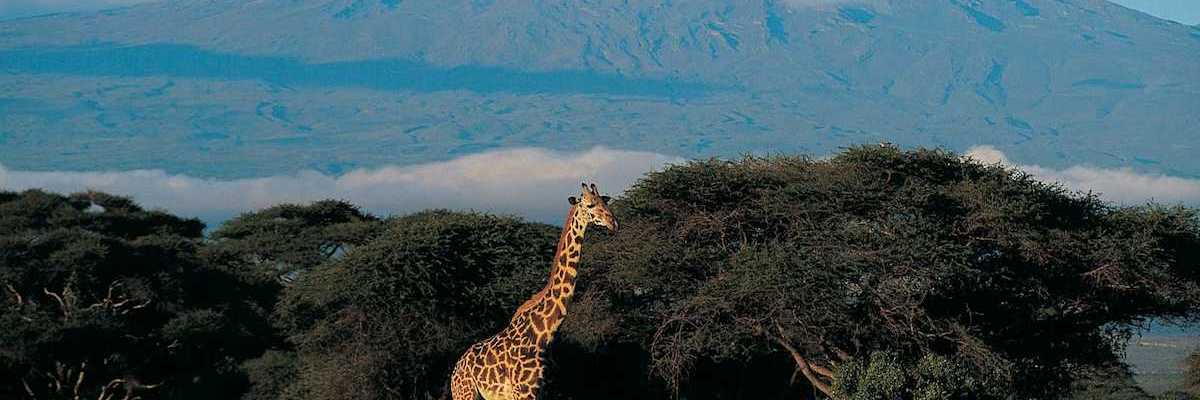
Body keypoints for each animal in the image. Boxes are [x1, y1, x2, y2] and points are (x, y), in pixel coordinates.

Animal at [450, 182, 618, 400]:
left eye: (606, 202)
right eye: (589, 204)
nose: (614, 223)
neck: (544, 333)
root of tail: (455, 371)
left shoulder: (543, 389)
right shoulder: (523, 392)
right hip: (466, 393)